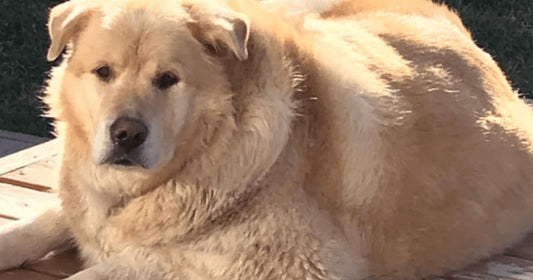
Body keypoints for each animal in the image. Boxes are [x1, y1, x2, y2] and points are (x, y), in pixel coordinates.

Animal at [1, 0, 532, 278]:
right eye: (103, 72)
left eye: (168, 79)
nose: (126, 134)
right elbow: (43, 222)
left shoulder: (293, 266)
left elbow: (125, 265)